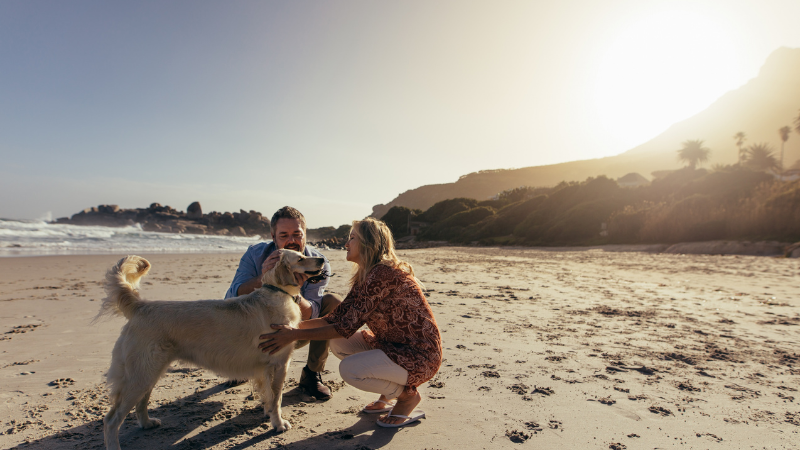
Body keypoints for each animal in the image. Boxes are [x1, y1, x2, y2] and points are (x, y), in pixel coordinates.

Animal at [94, 250, 318, 450]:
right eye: (301, 258)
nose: (322, 259)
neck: (276, 292)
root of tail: (141, 306)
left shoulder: (264, 369)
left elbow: (269, 396)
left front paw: (268, 414)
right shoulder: (280, 363)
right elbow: (277, 397)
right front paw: (278, 424)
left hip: (149, 372)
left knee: (140, 403)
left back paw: (147, 423)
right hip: (140, 375)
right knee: (111, 420)